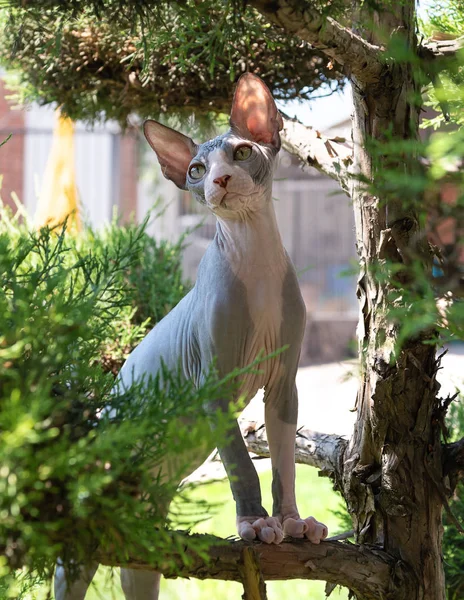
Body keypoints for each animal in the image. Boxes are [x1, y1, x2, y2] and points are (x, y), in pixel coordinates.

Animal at [54, 74, 328, 600]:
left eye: (241, 152)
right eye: (197, 170)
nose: (218, 181)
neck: (256, 263)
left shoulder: (283, 386)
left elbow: (283, 462)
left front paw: (293, 521)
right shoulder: (213, 388)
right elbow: (242, 462)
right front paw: (256, 525)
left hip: (142, 541)